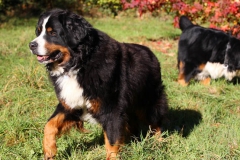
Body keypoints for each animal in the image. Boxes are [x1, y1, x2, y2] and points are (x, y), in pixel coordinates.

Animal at [28, 9, 169, 160]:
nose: (31, 45)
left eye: (53, 33)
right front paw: (49, 150)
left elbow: (112, 141)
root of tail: (151, 53)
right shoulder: (71, 103)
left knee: (155, 123)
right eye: (38, 31)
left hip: (149, 100)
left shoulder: (111, 109)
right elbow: (49, 124)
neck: (78, 64)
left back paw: (158, 143)